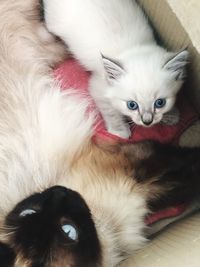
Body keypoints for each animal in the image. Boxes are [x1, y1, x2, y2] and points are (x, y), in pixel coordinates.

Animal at [43, 0, 189, 138]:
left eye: (160, 103)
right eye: (132, 105)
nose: (147, 121)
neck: (133, 45)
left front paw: (172, 114)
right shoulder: (98, 87)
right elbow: (110, 111)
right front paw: (120, 131)